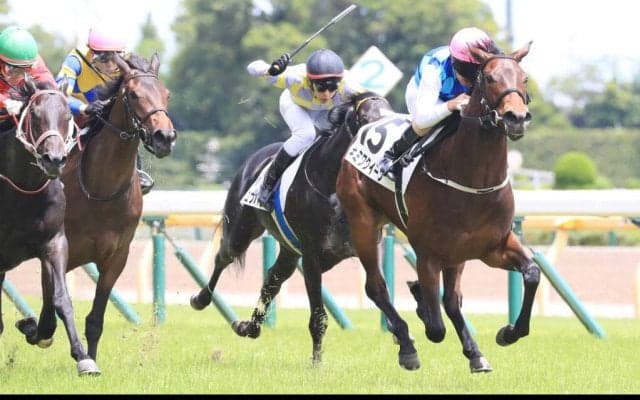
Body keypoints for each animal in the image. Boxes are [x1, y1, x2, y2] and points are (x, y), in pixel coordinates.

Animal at [0, 78, 100, 375]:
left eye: (68, 116)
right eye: (35, 115)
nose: (54, 159)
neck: (22, 189)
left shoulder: (54, 243)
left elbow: (61, 298)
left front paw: (83, 358)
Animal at [14, 52, 177, 365]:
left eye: (167, 94)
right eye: (134, 94)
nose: (165, 136)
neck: (101, 191)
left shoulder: (116, 258)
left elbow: (94, 320)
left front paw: (89, 358)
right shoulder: (55, 249)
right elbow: (48, 318)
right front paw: (30, 327)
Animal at [190, 92, 392, 365]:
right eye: (367, 120)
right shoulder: (311, 256)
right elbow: (318, 316)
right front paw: (317, 363)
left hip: (288, 250)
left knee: (271, 280)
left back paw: (248, 326)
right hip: (240, 231)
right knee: (224, 257)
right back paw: (200, 299)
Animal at [335, 42, 537, 372]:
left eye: (524, 78)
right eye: (490, 78)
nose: (516, 118)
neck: (473, 179)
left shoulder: (493, 247)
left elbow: (531, 273)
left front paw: (508, 333)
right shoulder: (428, 253)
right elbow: (435, 328)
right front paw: (417, 315)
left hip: (456, 255)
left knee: (451, 301)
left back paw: (474, 353)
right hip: (363, 224)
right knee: (376, 287)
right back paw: (406, 345)